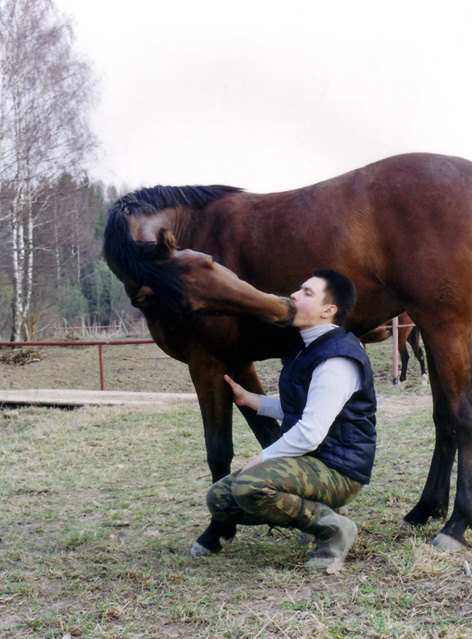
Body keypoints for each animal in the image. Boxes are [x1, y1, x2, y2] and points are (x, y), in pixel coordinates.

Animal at [104, 154, 472, 556]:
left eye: (209, 262)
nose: (282, 308)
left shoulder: (207, 363)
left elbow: (219, 449)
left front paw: (215, 531)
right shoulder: (236, 364)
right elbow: (270, 434)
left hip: (447, 327)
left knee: (461, 417)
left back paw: (455, 526)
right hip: (432, 330)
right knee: (444, 420)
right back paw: (424, 509)